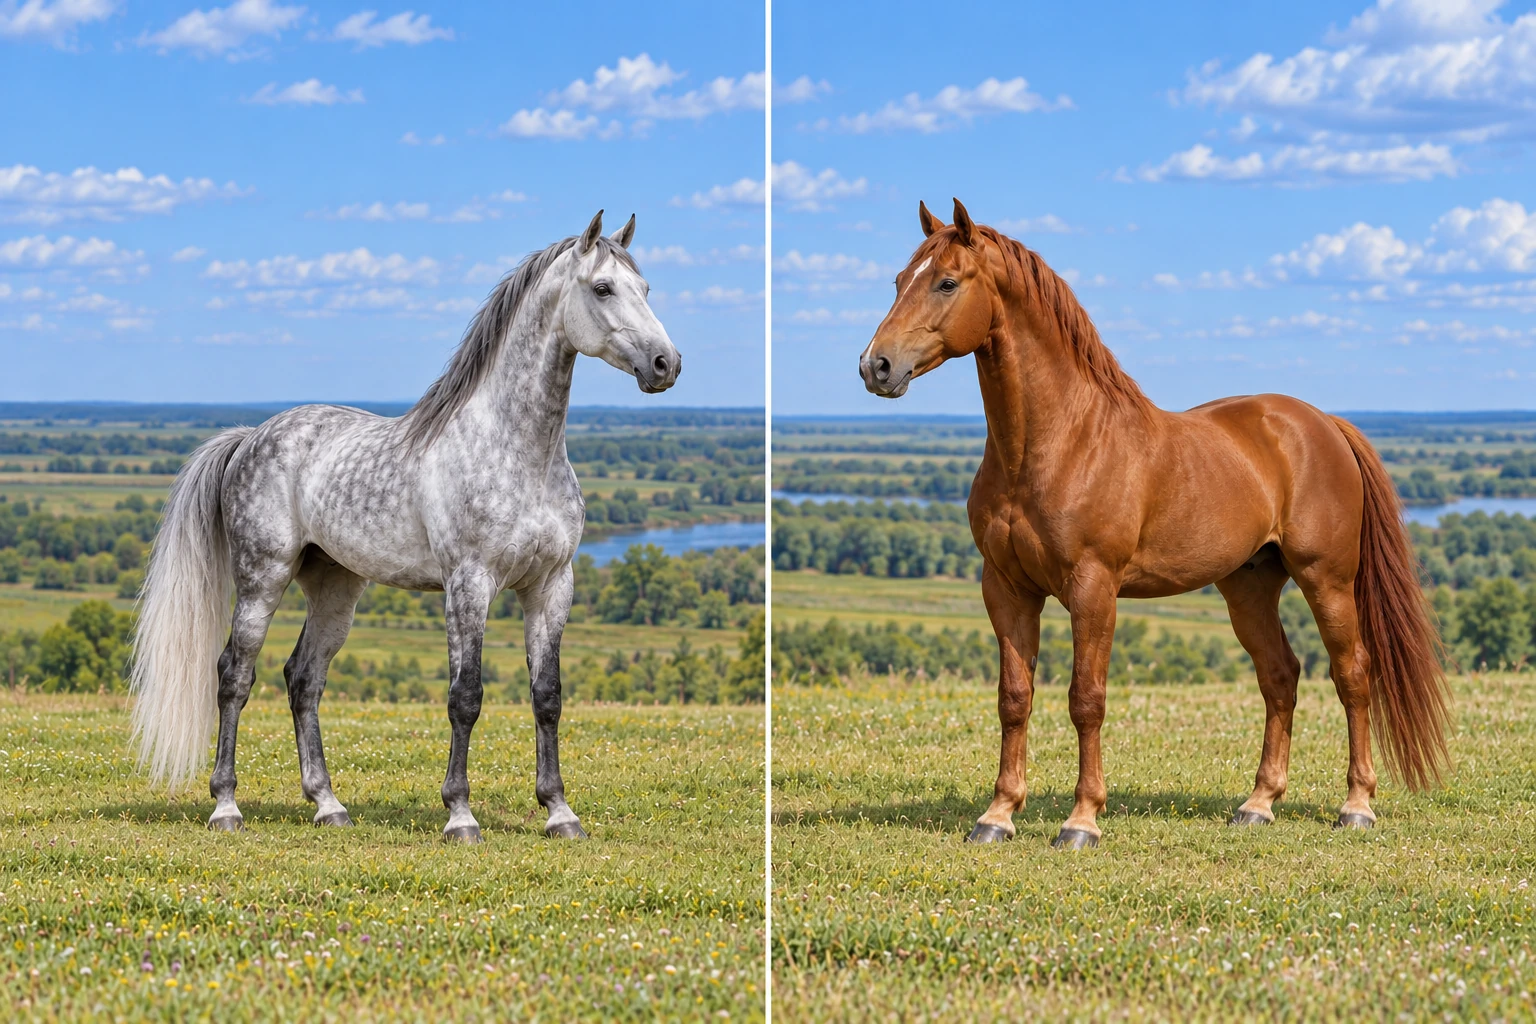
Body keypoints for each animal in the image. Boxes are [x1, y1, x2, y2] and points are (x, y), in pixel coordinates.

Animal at [130, 210, 679, 842]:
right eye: (603, 288)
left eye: (646, 289)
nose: (666, 365)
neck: (519, 452)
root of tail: (251, 437)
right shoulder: (469, 584)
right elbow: (466, 696)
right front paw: (460, 815)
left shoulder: (550, 586)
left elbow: (547, 696)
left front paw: (559, 811)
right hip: (262, 580)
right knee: (234, 676)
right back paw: (226, 806)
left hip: (336, 588)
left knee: (303, 678)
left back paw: (328, 805)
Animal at [858, 199, 1449, 849]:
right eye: (898, 281)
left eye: (947, 282)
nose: (875, 366)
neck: (1057, 443)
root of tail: (1321, 423)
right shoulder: (1006, 589)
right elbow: (1014, 698)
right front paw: (997, 815)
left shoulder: (1094, 590)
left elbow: (1086, 699)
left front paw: (1082, 820)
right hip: (1248, 586)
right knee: (1280, 676)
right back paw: (1258, 804)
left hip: (1327, 580)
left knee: (1352, 675)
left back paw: (1356, 804)